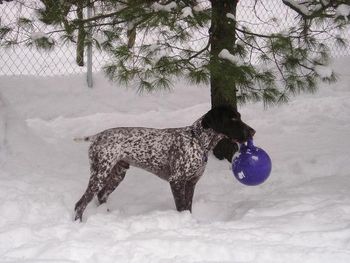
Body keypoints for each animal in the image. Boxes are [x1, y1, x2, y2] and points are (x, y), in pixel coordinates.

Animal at [74, 106, 254, 222]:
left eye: (239, 116)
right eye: (232, 118)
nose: (253, 132)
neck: (197, 140)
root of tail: (97, 136)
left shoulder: (191, 183)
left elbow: (188, 208)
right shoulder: (176, 181)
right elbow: (181, 207)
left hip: (117, 174)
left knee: (101, 195)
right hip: (100, 174)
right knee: (80, 204)